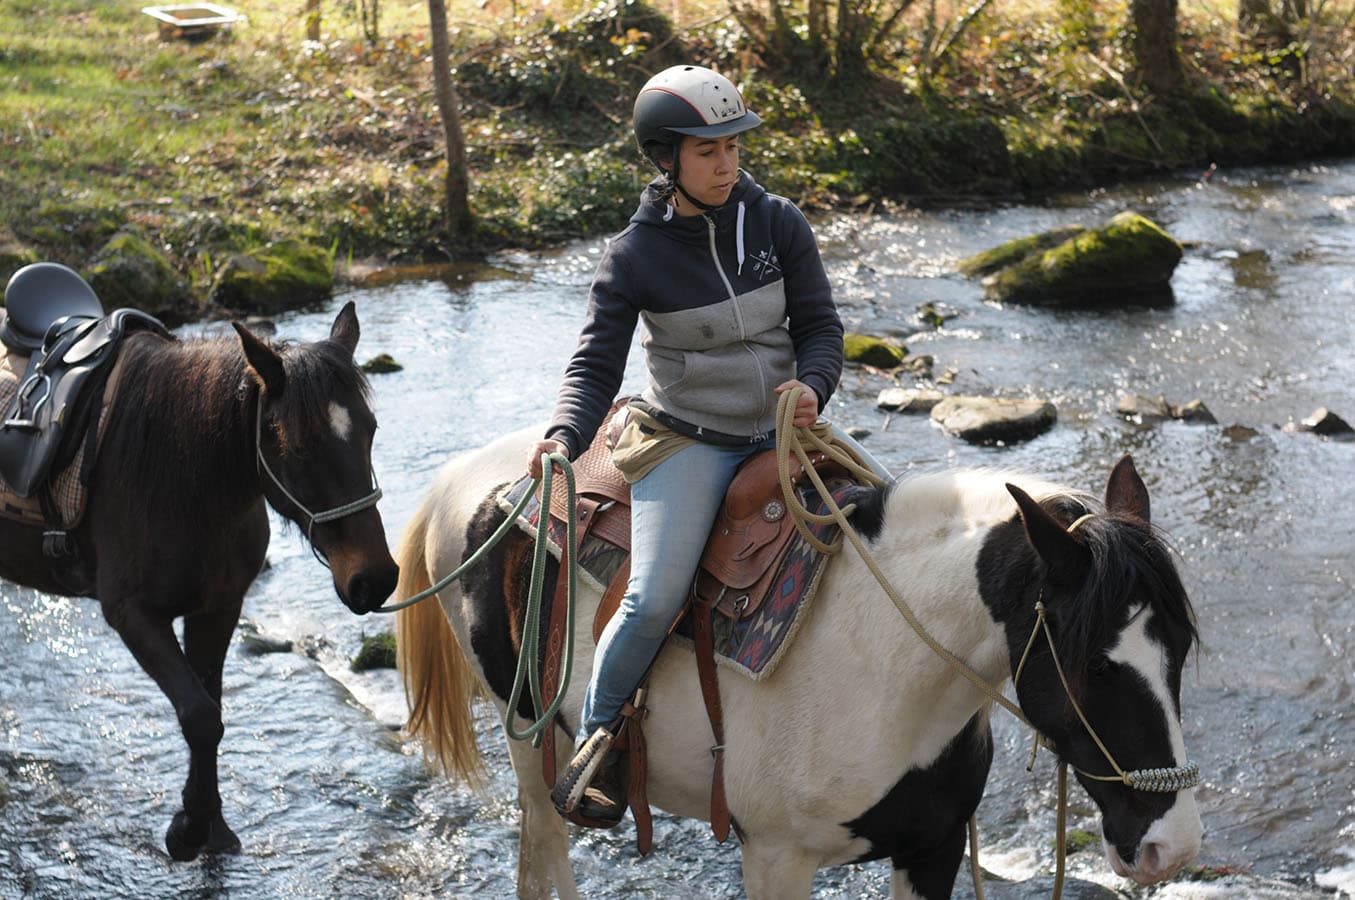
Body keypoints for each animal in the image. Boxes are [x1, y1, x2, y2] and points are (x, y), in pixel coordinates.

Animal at [0, 303, 401, 867]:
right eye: (297, 444)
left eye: (370, 429)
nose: (375, 579)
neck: (178, 475)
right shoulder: (133, 615)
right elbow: (199, 714)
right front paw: (188, 829)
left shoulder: (218, 606)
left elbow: (212, 709)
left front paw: (213, 826)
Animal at [395, 428, 1203, 900]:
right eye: (1096, 666)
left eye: (1181, 651)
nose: (1171, 846)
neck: (884, 669)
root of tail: (467, 473)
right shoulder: (776, 857)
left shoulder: (933, 849)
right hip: (531, 741)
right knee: (544, 853)